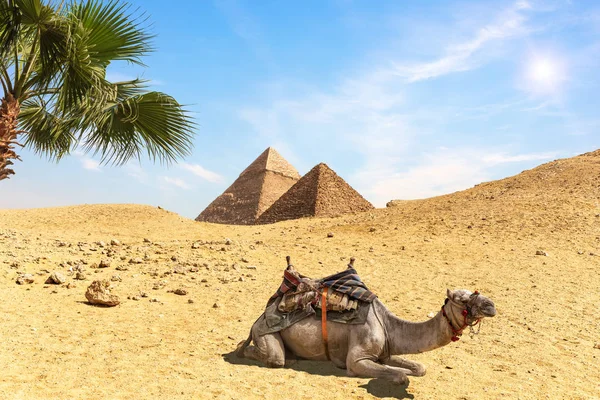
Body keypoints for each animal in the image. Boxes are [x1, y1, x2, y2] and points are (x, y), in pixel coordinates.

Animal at [236, 264, 496, 382]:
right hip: (265, 332)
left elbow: (419, 368)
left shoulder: (385, 350)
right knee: (268, 356)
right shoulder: (358, 358)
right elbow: (401, 375)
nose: (490, 305)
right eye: (461, 299)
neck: (387, 324)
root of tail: (260, 317)